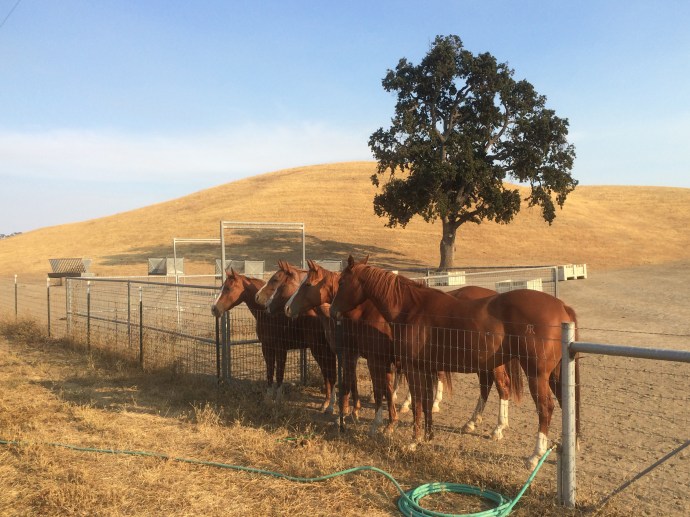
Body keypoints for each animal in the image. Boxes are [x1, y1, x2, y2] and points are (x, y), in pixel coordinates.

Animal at [211, 268, 336, 412]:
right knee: (327, 373)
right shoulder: (267, 347)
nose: (214, 309)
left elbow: (279, 373)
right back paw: (326, 403)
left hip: (320, 349)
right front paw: (268, 398)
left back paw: (329, 404)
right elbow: (270, 372)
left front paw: (278, 399)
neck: (269, 314)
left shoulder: (281, 349)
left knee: (329, 372)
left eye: (228, 288)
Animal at [285, 260, 523, 440]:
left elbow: (376, 388)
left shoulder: (373, 358)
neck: (369, 312)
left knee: (501, 387)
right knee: (485, 386)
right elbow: (379, 387)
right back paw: (471, 421)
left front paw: (373, 421)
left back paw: (497, 428)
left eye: (306, 284)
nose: (287, 308)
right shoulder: (373, 358)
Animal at [330, 256, 580, 469]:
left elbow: (415, 402)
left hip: (536, 374)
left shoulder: (408, 367)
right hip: (552, 373)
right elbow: (426, 401)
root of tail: (561, 307)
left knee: (544, 408)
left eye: (341, 282)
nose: (332, 311)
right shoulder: (426, 367)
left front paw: (413, 440)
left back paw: (535, 455)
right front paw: (427, 437)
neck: (411, 309)